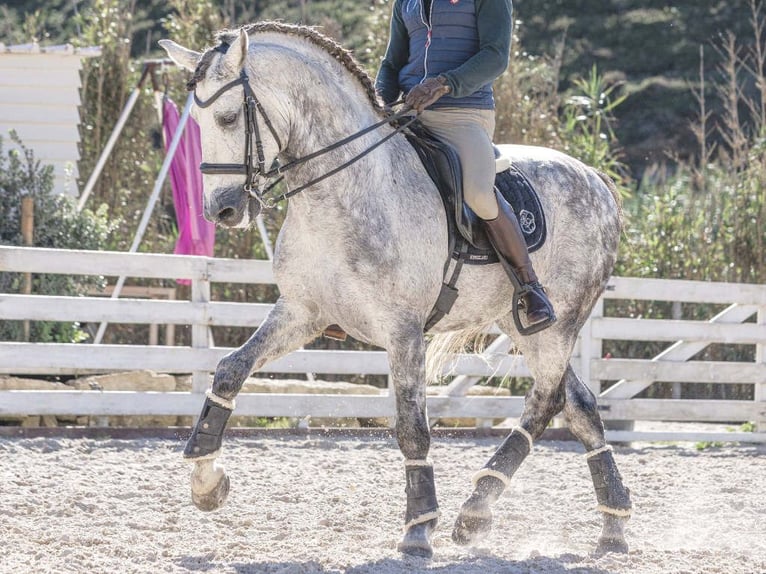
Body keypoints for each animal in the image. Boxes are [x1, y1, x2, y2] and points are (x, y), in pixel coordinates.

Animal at [159, 23, 632, 564]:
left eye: (230, 116)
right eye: (197, 122)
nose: (223, 210)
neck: (343, 190)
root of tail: (597, 179)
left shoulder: (404, 331)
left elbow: (411, 427)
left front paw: (419, 528)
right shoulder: (302, 312)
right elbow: (230, 369)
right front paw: (206, 478)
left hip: (555, 323)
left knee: (545, 401)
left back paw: (477, 511)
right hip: (521, 326)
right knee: (578, 404)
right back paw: (609, 525)